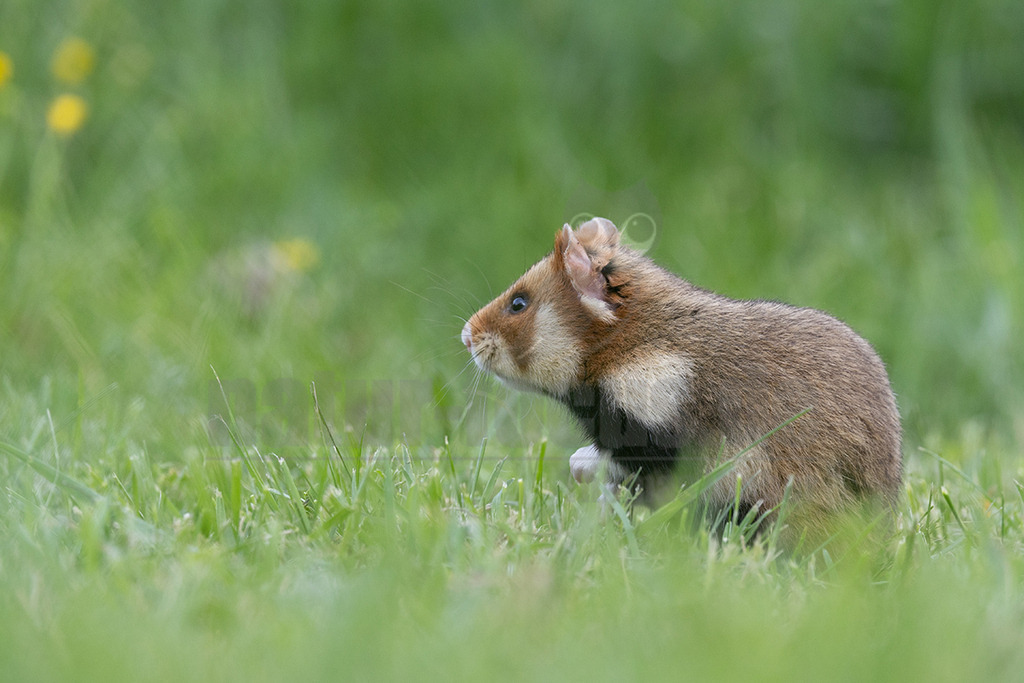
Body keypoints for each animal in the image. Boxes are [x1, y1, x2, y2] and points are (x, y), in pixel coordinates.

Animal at [461, 218, 902, 540]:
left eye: (519, 303)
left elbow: (607, 463)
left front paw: (584, 473)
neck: (634, 343)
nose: (466, 336)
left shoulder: (661, 428)